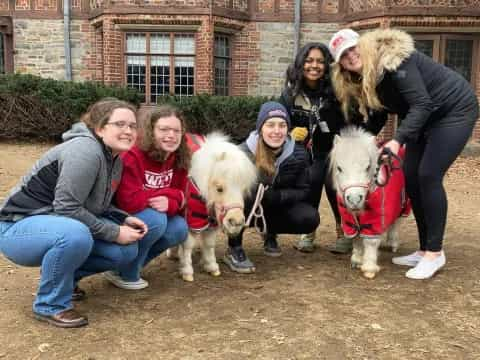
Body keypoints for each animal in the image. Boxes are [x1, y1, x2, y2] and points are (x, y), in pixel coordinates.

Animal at [171, 132, 256, 282]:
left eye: (243, 190)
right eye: (219, 188)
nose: (236, 222)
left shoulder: (212, 221)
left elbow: (209, 244)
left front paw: (211, 267)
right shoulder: (192, 221)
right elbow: (188, 245)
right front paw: (187, 271)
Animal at [332, 126, 410, 278]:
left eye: (368, 167)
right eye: (339, 168)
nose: (354, 199)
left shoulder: (375, 218)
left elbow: (371, 241)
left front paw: (369, 268)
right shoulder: (349, 218)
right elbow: (356, 237)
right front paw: (356, 260)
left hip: (404, 205)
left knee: (396, 223)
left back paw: (393, 243)